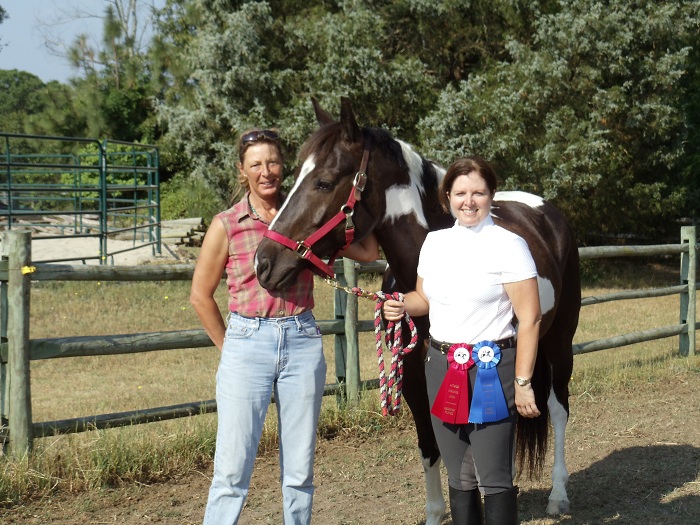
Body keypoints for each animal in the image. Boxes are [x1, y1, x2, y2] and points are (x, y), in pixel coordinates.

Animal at [256, 97, 580, 520]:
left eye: (324, 182)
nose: (263, 263)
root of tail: (547, 212)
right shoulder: (411, 375)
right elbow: (431, 446)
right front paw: (435, 513)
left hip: (559, 342)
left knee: (558, 409)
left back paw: (558, 494)